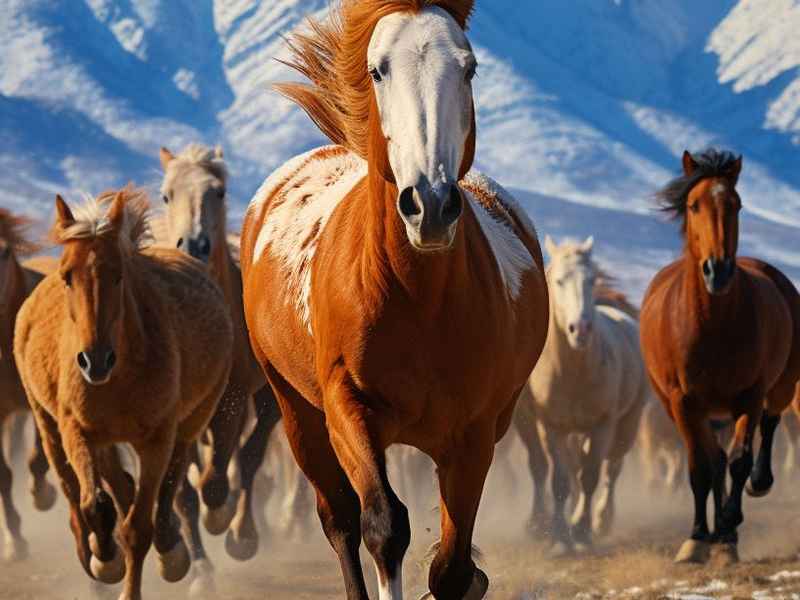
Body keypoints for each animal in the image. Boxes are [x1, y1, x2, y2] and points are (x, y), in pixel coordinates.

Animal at [14, 188, 233, 600]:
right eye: (67, 276)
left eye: (118, 274)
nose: (94, 360)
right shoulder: (76, 430)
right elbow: (95, 504)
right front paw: (106, 558)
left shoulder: (157, 437)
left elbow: (139, 525)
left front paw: (153, 561)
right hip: (48, 425)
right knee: (83, 491)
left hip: (191, 422)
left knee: (168, 484)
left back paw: (170, 546)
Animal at [157, 144, 281, 573]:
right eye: (166, 195)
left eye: (219, 192)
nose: (194, 245)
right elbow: (183, 491)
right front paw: (196, 567)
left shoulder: (234, 397)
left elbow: (217, 481)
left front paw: (223, 518)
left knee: (249, 458)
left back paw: (242, 533)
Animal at [239, 1, 549, 598]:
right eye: (377, 68)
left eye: (470, 68)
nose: (429, 205)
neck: (415, 299)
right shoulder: (347, 409)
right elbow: (383, 525)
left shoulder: (473, 435)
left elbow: (452, 566)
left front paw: (469, 576)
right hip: (294, 411)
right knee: (337, 518)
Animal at [514, 236, 647, 553]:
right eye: (559, 280)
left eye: (591, 279)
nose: (581, 329)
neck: (572, 373)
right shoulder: (551, 427)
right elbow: (560, 480)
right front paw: (560, 537)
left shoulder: (602, 426)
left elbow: (590, 476)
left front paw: (582, 530)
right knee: (545, 467)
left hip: (628, 424)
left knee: (612, 469)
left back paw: (602, 520)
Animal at [639, 149, 800, 565]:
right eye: (693, 205)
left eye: (736, 204)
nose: (718, 271)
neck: (710, 325)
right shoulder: (683, 402)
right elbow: (700, 467)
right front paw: (698, 538)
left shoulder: (749, 396)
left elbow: (740, 459)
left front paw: (728, 528)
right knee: (714, 461)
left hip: (779, 386)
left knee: (768, 426)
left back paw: (755, 490)